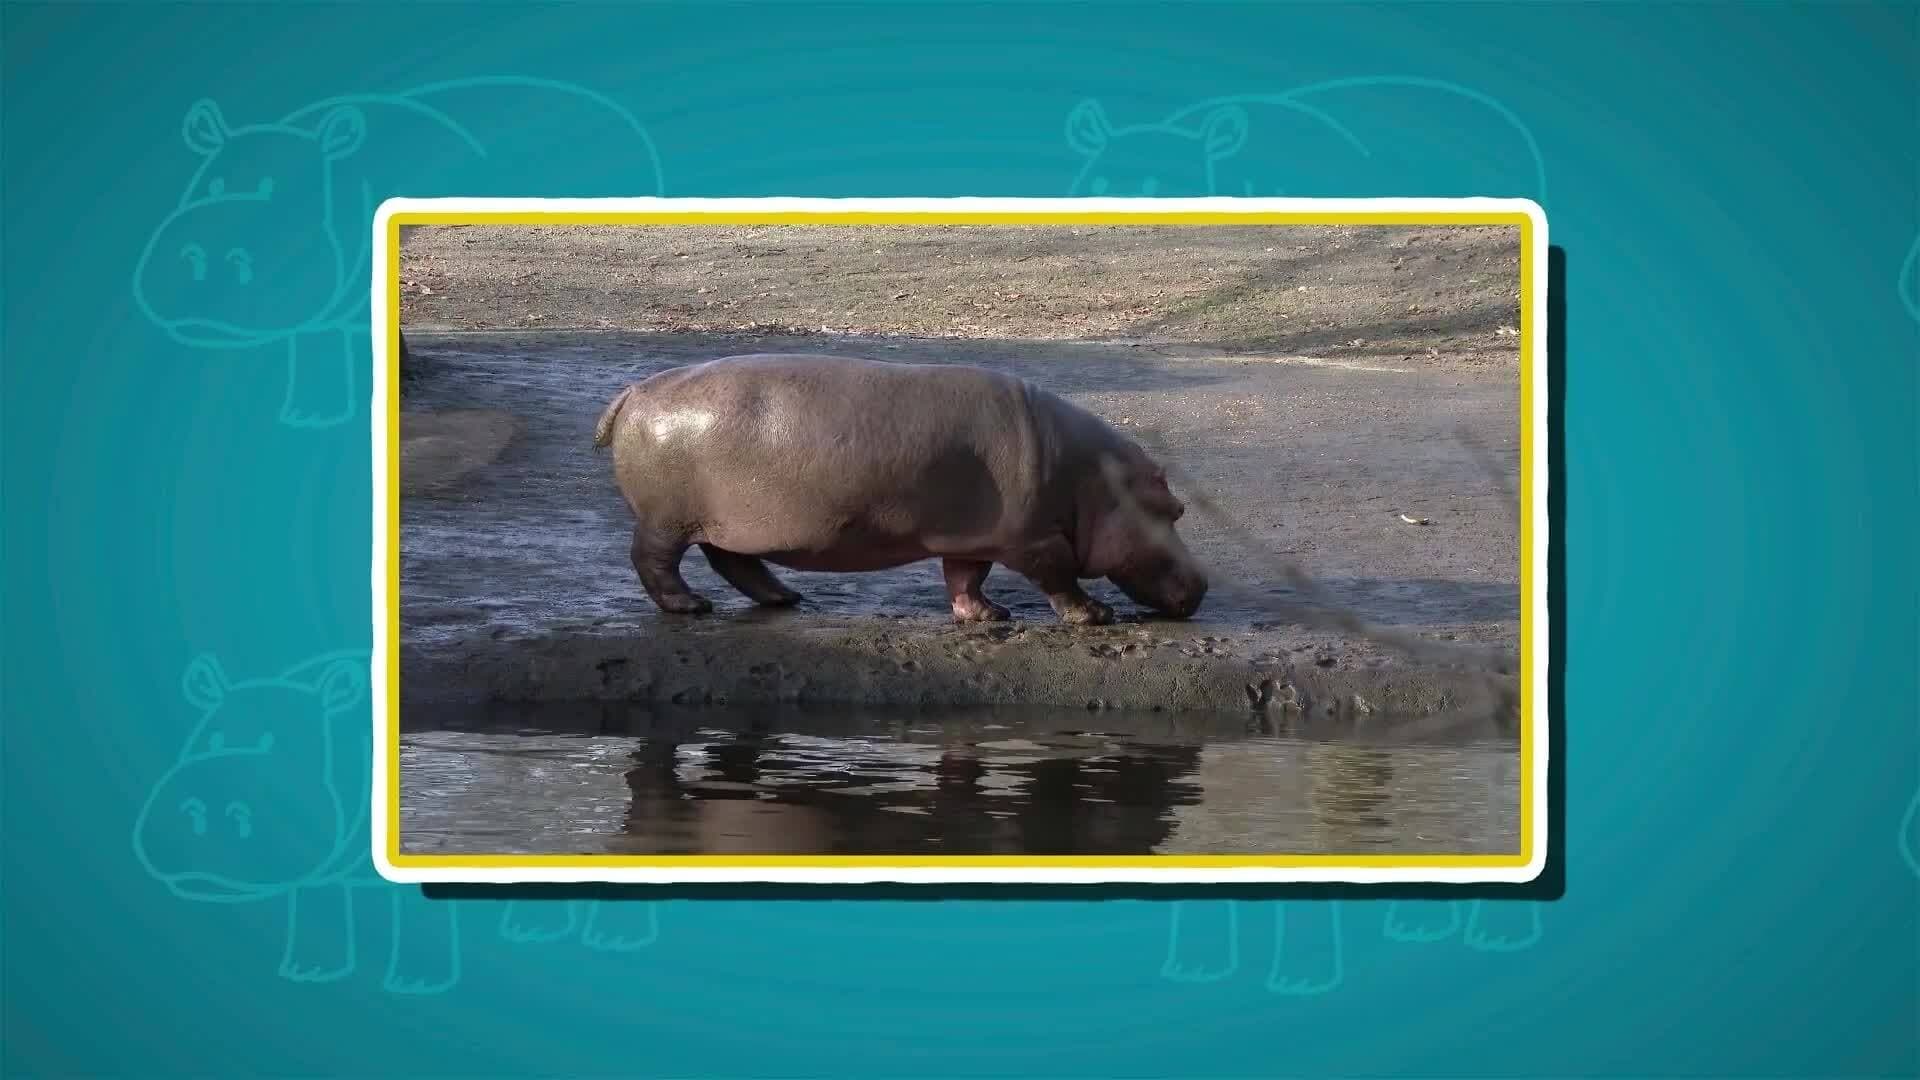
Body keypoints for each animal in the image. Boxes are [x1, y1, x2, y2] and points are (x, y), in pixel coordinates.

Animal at [592, 353, 1208, 625]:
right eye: (1175, 509)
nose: (1203, 585)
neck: (1096, 483)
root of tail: (633, 392)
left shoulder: (975, 536)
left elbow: (966, 577)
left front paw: (989, 616)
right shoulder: (1033, 539)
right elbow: (1059, 578)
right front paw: (1094, 615)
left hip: (730, 523)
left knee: (734, 561)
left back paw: (786, 598)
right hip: (667, 519)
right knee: (654, 560)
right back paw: (689, 606)